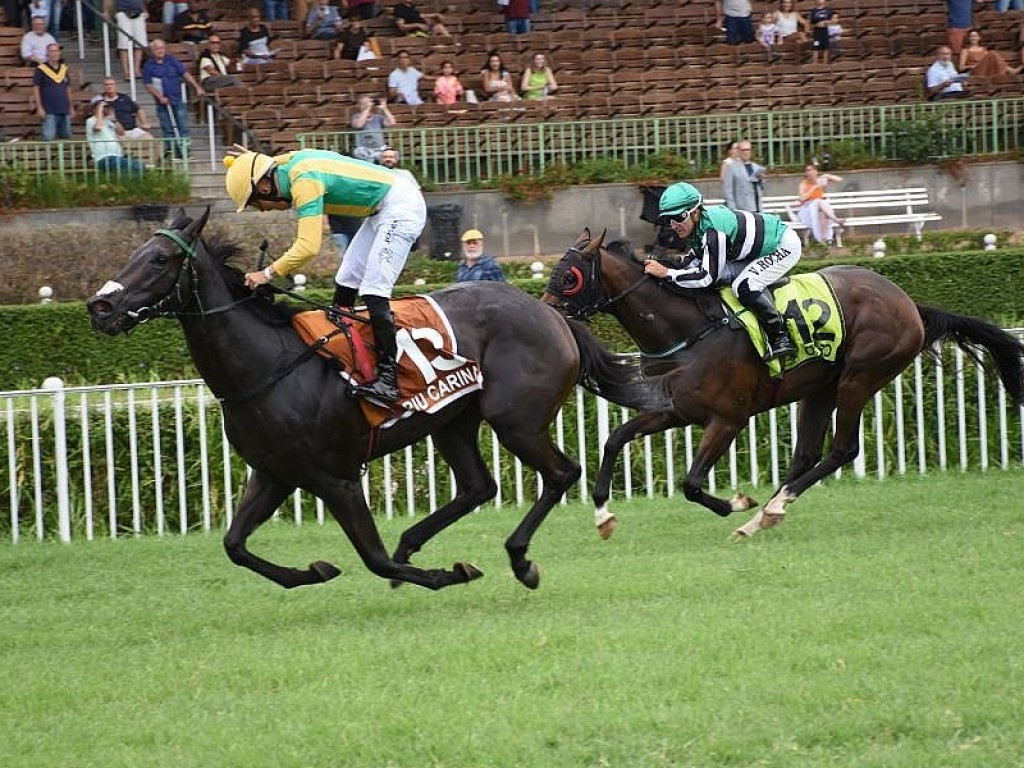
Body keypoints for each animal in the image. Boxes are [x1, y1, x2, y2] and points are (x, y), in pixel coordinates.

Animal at [83, 211, 667, 593]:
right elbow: (235, 545)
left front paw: (448, 574)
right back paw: (416, 540)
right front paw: (312, 571)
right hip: (451, 421)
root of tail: (551, 313)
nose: (99, 306)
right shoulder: (274, 473)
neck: (267, 365)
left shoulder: (335, 477)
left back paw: (519, 559)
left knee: (560, 474)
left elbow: (374, 559)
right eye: (133, 254)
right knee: (478, 486)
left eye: (159, 259)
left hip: (515, 419)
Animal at [544, 231, 1024, 536]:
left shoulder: (728, 419)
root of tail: (909, 304)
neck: (691, 331)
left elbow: (692, 483)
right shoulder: (673, 409)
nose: (543, 311)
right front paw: (603, 513)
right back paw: (765, 516)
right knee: (805, 454)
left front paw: (737, 502)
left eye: (569, 276)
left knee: (842, 450)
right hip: (821, 388)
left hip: (860, 377)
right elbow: (615, 439)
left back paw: (768, 507)